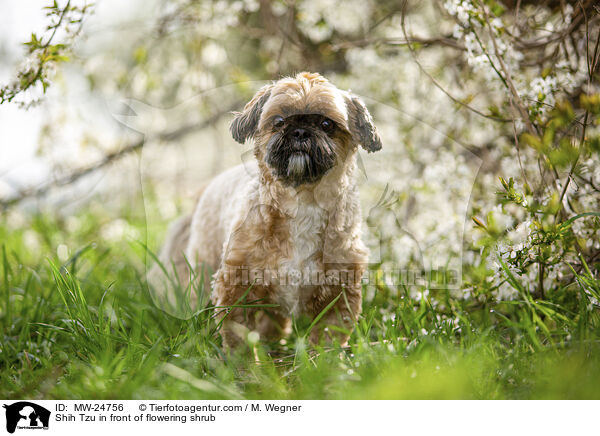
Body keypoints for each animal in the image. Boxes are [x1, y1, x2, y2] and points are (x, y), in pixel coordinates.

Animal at [152, 71, 382, 350]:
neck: (302, 204)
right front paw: (243, 362)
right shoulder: (235, 284)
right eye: (279, 121)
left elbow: (328, 337)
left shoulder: (339, 290)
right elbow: (238, 337)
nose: (300, 131)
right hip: (203, 267)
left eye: (327, 124)